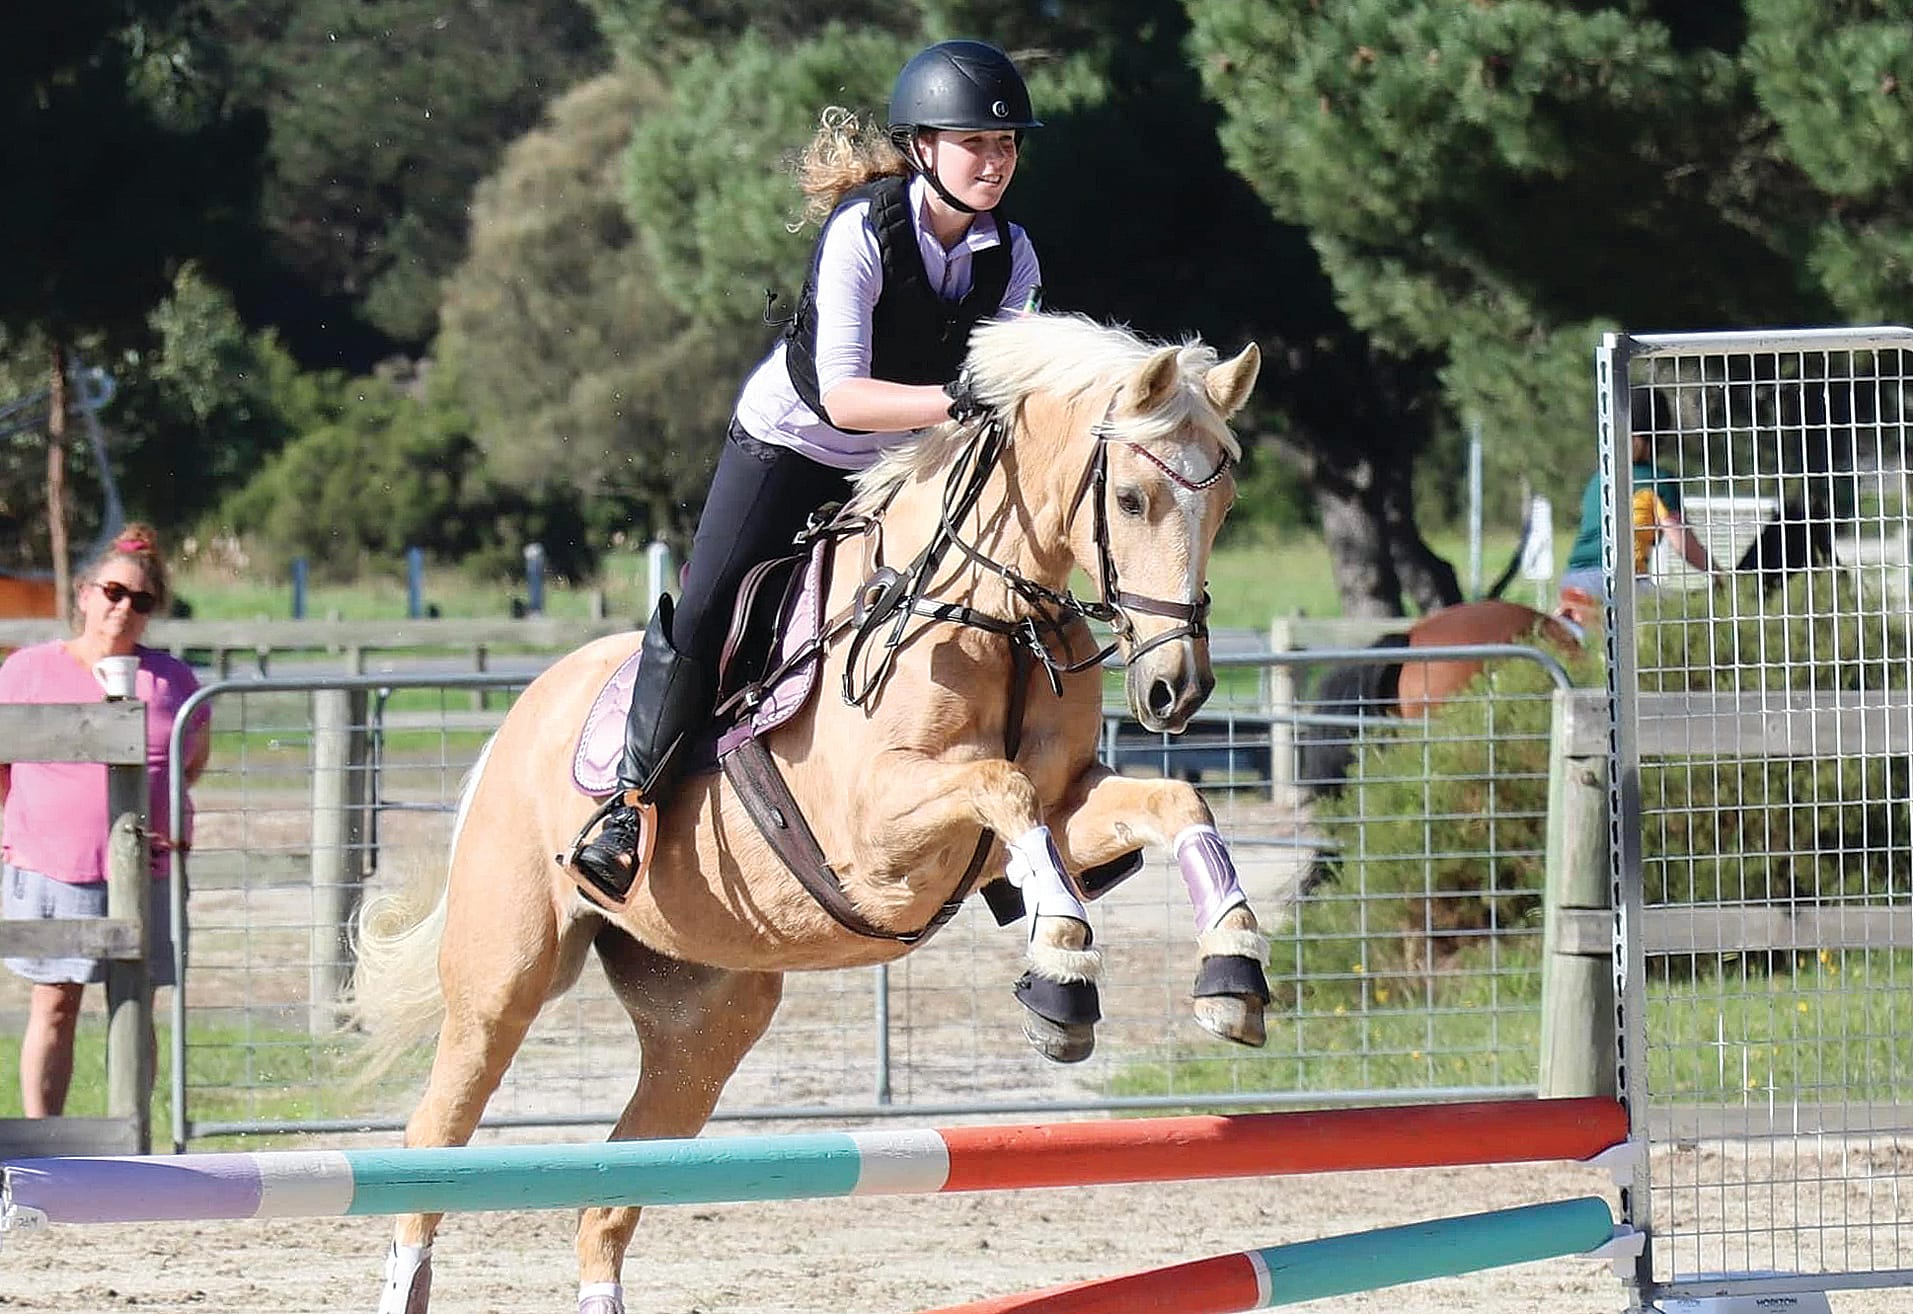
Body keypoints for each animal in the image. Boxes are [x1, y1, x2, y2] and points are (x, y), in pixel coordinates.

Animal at [348, 313, 1266, 1314]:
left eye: (1224, 506)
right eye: (1132, 500)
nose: (1176, 690)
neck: (986, 614)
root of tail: (518, 719)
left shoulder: (1050, 817)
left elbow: (1168, 799)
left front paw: (1232, 972)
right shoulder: (879, 840)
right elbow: (1001, 787)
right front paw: (1061, 973)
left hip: (703, 1021)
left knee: (607, 1201)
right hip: (501, 985)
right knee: (431, 1148)